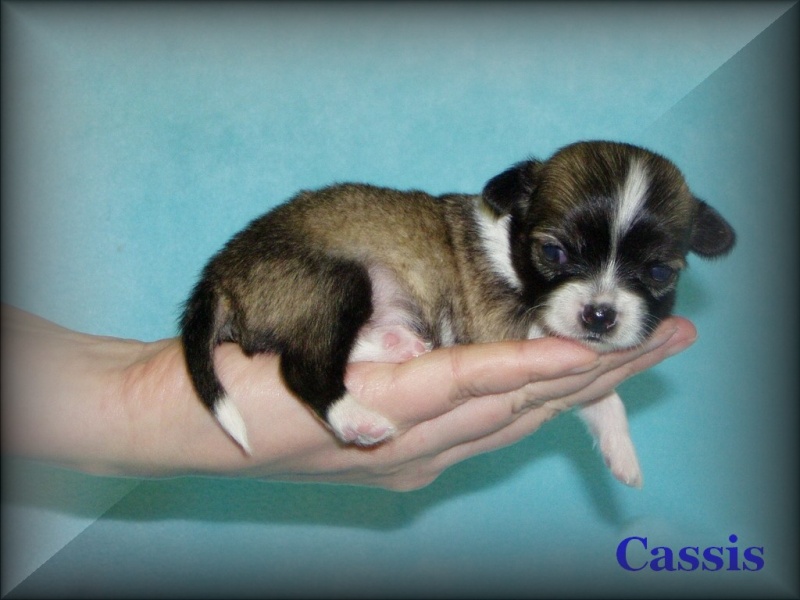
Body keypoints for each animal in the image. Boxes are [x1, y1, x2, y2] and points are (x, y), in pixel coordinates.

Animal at [180, 140, 735, 487]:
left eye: (660, 272)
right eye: (554, 253)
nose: (600, 315)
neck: (509, 243)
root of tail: (219, 272)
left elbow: (604, 400)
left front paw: (621, 452)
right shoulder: (500, 328)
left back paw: (394, 344)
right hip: (336, 281)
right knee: (302, 365)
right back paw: (359, 419)